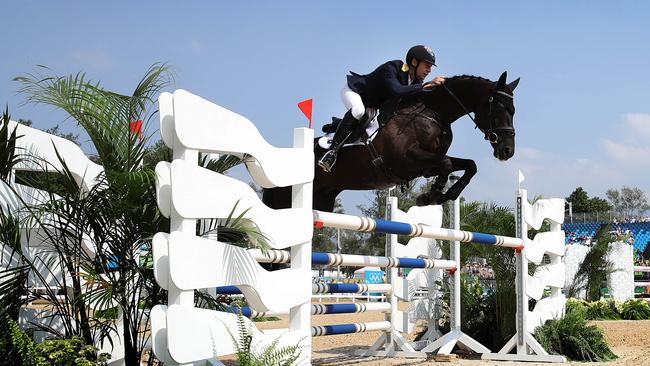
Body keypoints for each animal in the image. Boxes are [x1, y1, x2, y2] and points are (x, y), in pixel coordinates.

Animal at [260, 71, 520, 212]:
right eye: (498, 108)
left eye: (513, 110)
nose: (507, 150)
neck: (434, 112)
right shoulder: (406, 161)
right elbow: (447, 164)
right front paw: (430, 197)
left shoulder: (426, 166)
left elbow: (469, 165)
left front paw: (446, 195)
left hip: (322, 199)